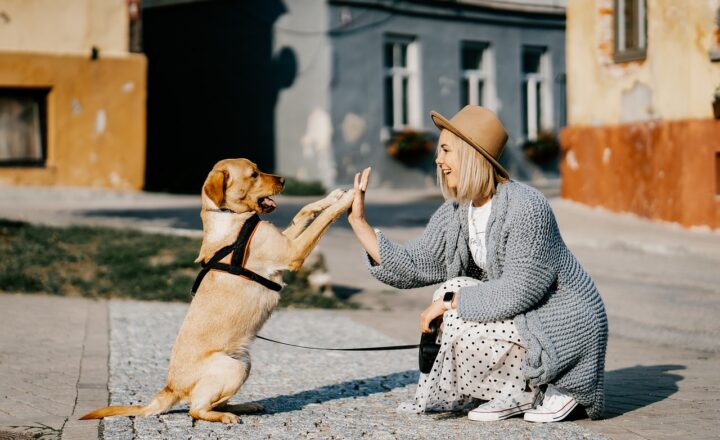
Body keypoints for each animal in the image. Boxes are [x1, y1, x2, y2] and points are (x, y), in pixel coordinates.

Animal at [80, 157, 356, 422]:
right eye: (253, 174)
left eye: (258, 169)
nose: (284, 180)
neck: (229, 216)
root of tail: (170, 388)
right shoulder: (292, 252)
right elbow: (322, 219)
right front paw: (348, 199)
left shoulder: (286, 241)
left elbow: (304, 210)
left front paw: (334, 196)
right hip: (232, 367)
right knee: (196, 409)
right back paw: (225, 416)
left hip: (244, 362)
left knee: (213, 402)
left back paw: (244, 406)